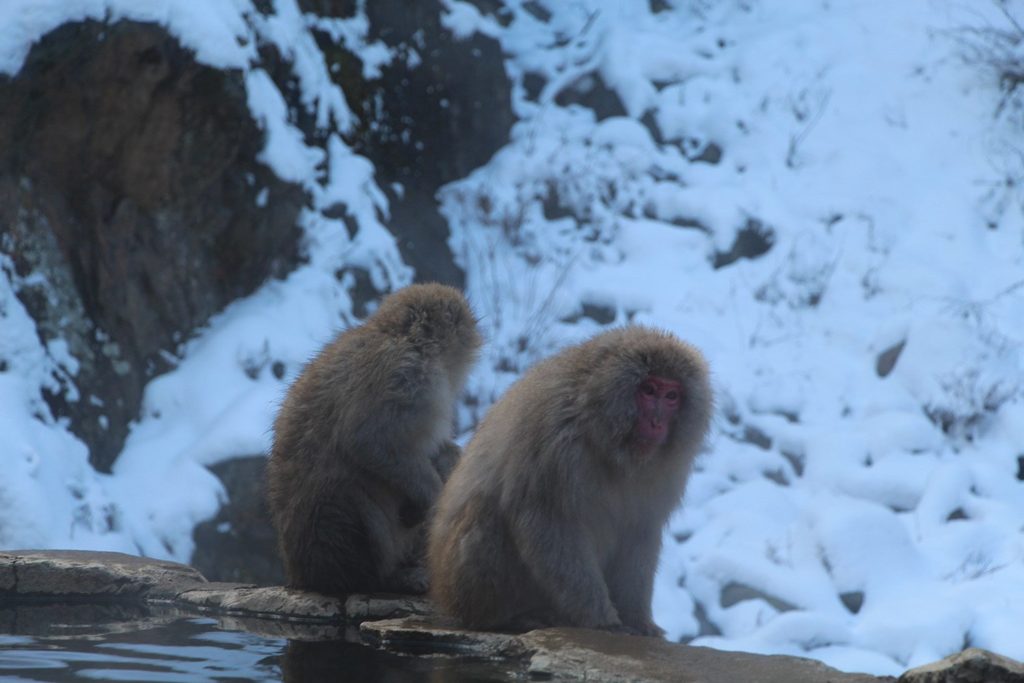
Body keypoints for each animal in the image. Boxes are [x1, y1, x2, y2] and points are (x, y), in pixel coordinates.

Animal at [268, 282, 483, 593]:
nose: (476, 335)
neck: (398, 335)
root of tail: (299, 577)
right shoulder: (407, 375)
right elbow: (368, 440)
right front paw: (433, 499)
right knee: (350, 496)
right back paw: (382, 579)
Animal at [425, 325, 712, 634]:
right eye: (648, 390)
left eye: (671, 396)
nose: (657, 422)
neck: (602, 434)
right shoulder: (553, 440)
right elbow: (548, 522)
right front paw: (601, 619)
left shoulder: (667, 470)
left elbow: (640, 530)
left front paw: (638, 620)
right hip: (459, 583)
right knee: (487, 510)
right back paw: (506, 616)